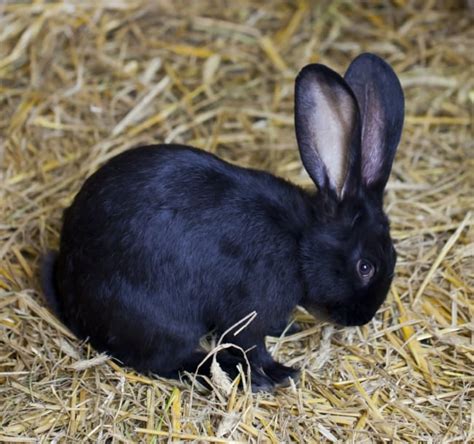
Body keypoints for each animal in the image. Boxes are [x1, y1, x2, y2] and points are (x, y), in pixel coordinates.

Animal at [41, 53, 404, 390]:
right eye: (365, 267)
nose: (362, 318)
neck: (299, 244)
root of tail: (73, 301)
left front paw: (289, 328)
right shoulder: (247, 310)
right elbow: (252, 345)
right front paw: (279, 374)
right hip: (158, 320)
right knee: (169, 359)